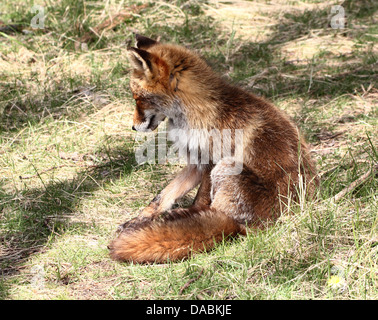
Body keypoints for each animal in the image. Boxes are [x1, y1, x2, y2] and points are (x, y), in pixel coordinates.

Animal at [108, 34, 318, 262]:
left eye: (138, 99)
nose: (133, 127)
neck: (196, 110)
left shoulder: (212, 159)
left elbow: (199, 200)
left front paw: (181, 218)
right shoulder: (195, 161)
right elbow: (163, 196)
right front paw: (140, 219)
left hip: (227, 168)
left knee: (215, 214)